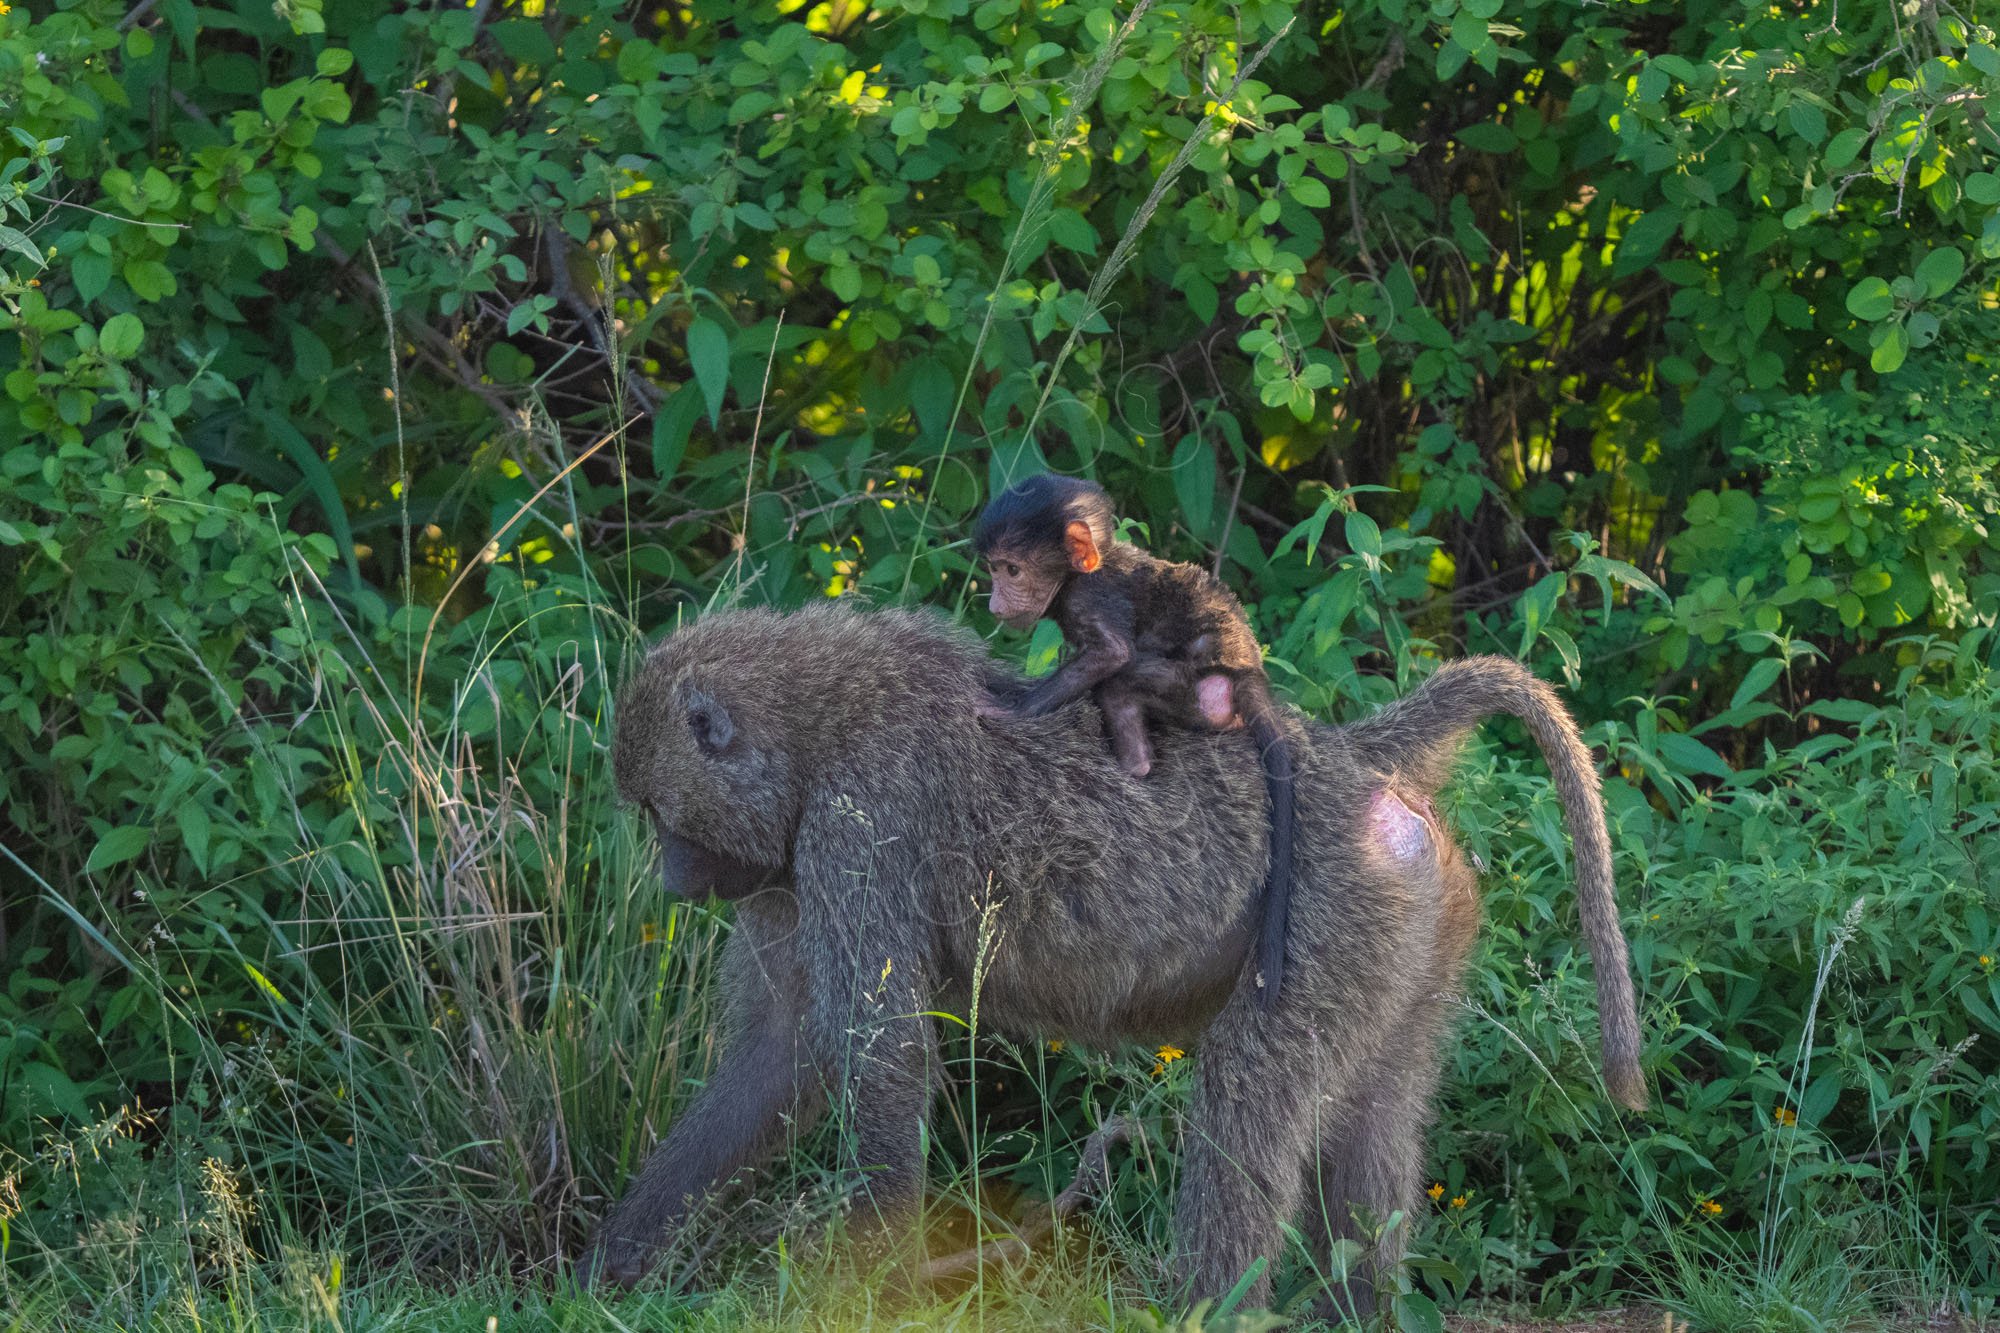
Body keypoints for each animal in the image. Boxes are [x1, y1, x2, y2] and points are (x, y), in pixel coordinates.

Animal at [583, 603, 1645, 1319]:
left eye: (656, 812)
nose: (676, 884)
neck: (818, 718)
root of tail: (1353, 757)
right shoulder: (785, 875)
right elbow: (778, 1050)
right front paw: (614, 1266)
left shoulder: (859, 823)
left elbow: (879, 1061)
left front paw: (869, 1280)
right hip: (1412, 935)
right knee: (1374, 1124)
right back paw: (1356, 1313)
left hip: (1331, 920)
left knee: (1247, 1097)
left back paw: (1206, 1310)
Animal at [971, 473, 1298, 1011]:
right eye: (993, 570)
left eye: (1012, 570)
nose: (996, 603)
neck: (1086, 570)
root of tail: (1247, 671)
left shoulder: (1093, 598)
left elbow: (1112, 654)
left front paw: (1014, 710)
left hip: (1190, 688)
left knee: (1118, 685)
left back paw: (1134, 768)